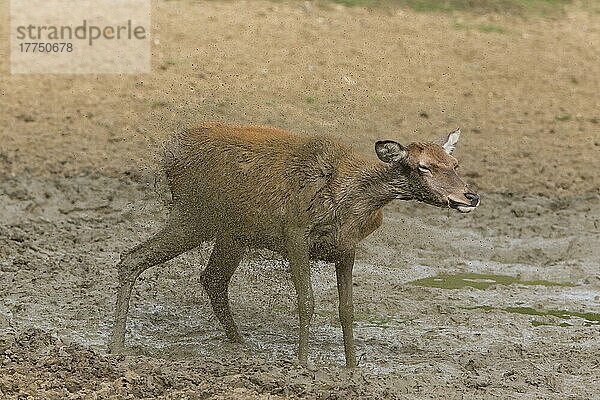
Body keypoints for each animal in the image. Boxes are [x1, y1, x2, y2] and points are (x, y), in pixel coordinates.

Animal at [108, 122, 480, 368]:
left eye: (455, 164)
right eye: (423, 167)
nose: (470, 196)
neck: (352, 202)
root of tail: (169, 155)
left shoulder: (347, 248)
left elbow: (347, 309)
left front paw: (352, 367)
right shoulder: (295, 234)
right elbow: (307, 302)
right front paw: (303, 364)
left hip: (232, 233)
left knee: (212, 278)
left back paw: (240, 343)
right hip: (194, 215)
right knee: (131, 258)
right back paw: (116, 348)